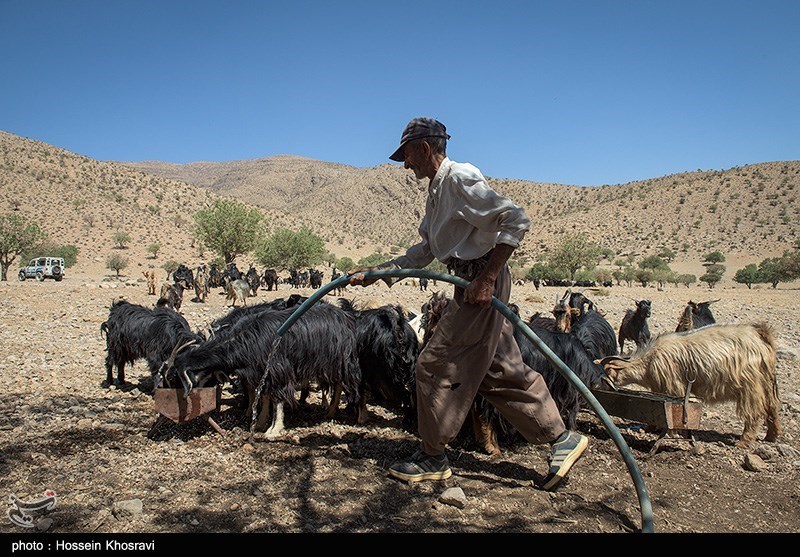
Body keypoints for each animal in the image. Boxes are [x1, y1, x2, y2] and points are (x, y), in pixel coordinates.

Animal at [600, 322, 780, 448]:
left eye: (607, 373)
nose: (603, 389)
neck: (649, 360)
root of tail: (761, 336)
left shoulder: (674, 385)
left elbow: (671, 414)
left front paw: (671, 433)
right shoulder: (660, 389)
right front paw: (650, 428)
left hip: (750, 385)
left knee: (754, 414)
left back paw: (744, 442)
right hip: (766, 383)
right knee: (772, 407)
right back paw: (772, 436)